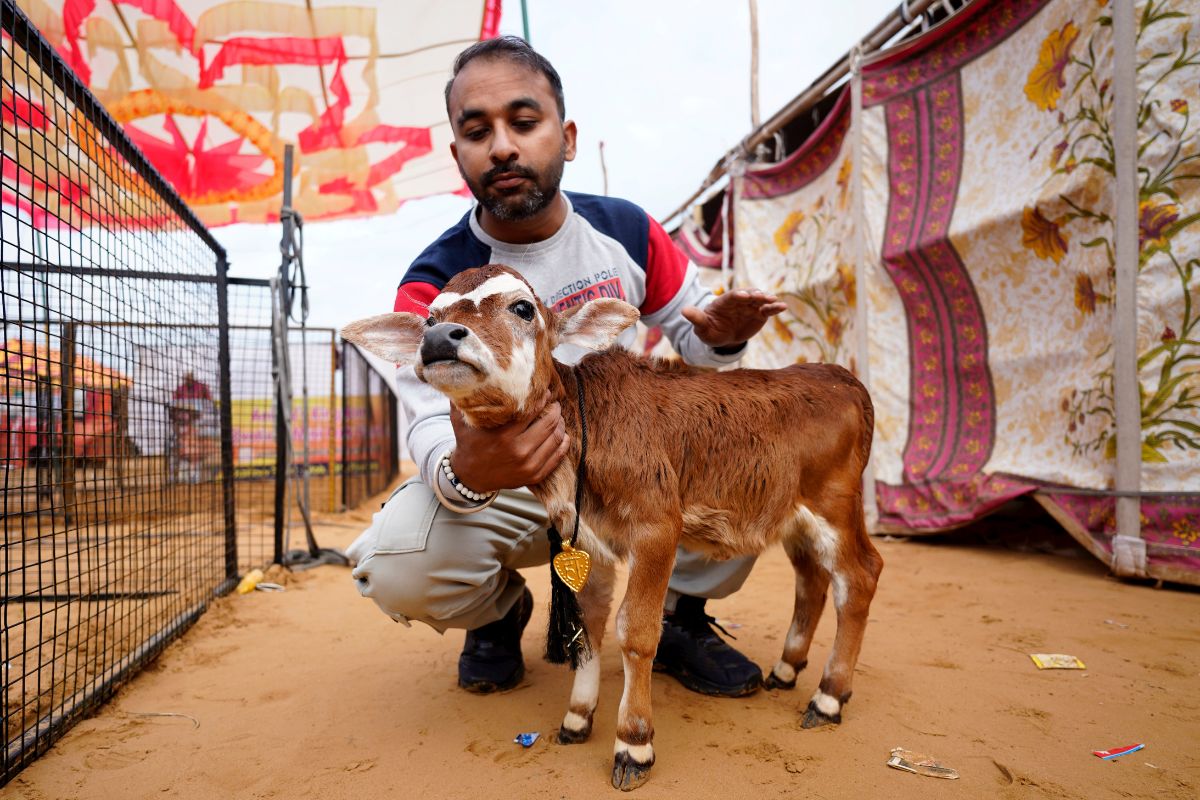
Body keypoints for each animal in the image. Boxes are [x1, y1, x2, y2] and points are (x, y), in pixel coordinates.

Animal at [342, 264, 883, 791]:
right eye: (431, 317)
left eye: (523, 308)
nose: (440, 338)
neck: (582, 439)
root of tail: (839, 375)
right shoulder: (585, 540)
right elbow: (589, 626)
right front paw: (578, 717)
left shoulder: (657, 527)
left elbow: (637, 632)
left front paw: (633, 742)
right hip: (794, 517)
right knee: (811, 579)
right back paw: (788, 669)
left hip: (835, 504)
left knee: (859, 576)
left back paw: (828, 697)